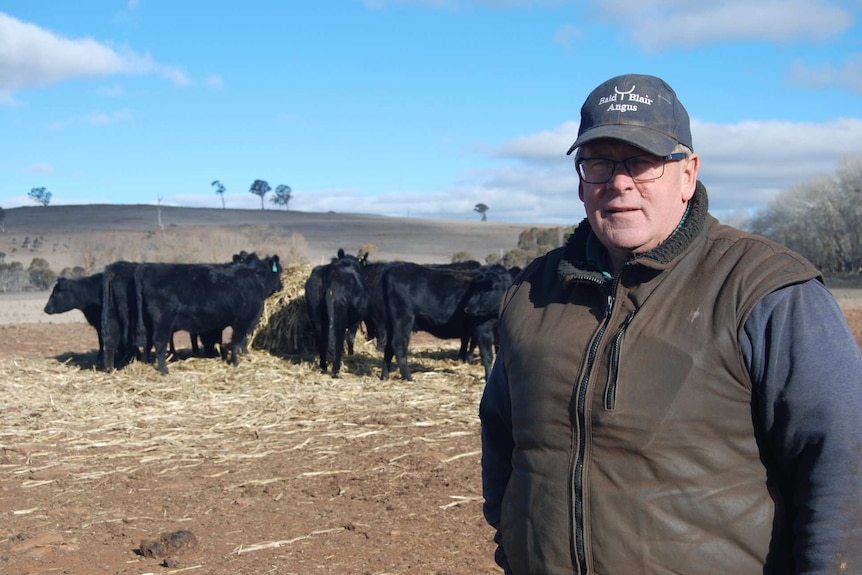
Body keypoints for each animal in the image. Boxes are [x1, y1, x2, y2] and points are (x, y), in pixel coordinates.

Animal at [136, 255, 284, 374]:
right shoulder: (243, 320)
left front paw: (244, 355)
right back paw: (164, 370)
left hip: (149, 323)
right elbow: (237, 341)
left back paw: (147, 362)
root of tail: (148, 268)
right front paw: (235, 362)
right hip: (163, 321)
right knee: (159, 342)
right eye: (279, 272)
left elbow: (241, 341)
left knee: (148, 343)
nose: (281, 287)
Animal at [380, 264, 512, 382]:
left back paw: (385, 376)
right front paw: (488, 378)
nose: (468, 308)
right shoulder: (483, 332)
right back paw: (408, 377)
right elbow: (487, 357)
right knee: (398, 345)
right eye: (478, 289)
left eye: (491, 288)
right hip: (403, 319)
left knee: (388, 347)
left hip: (391, 324)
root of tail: (393, 267)